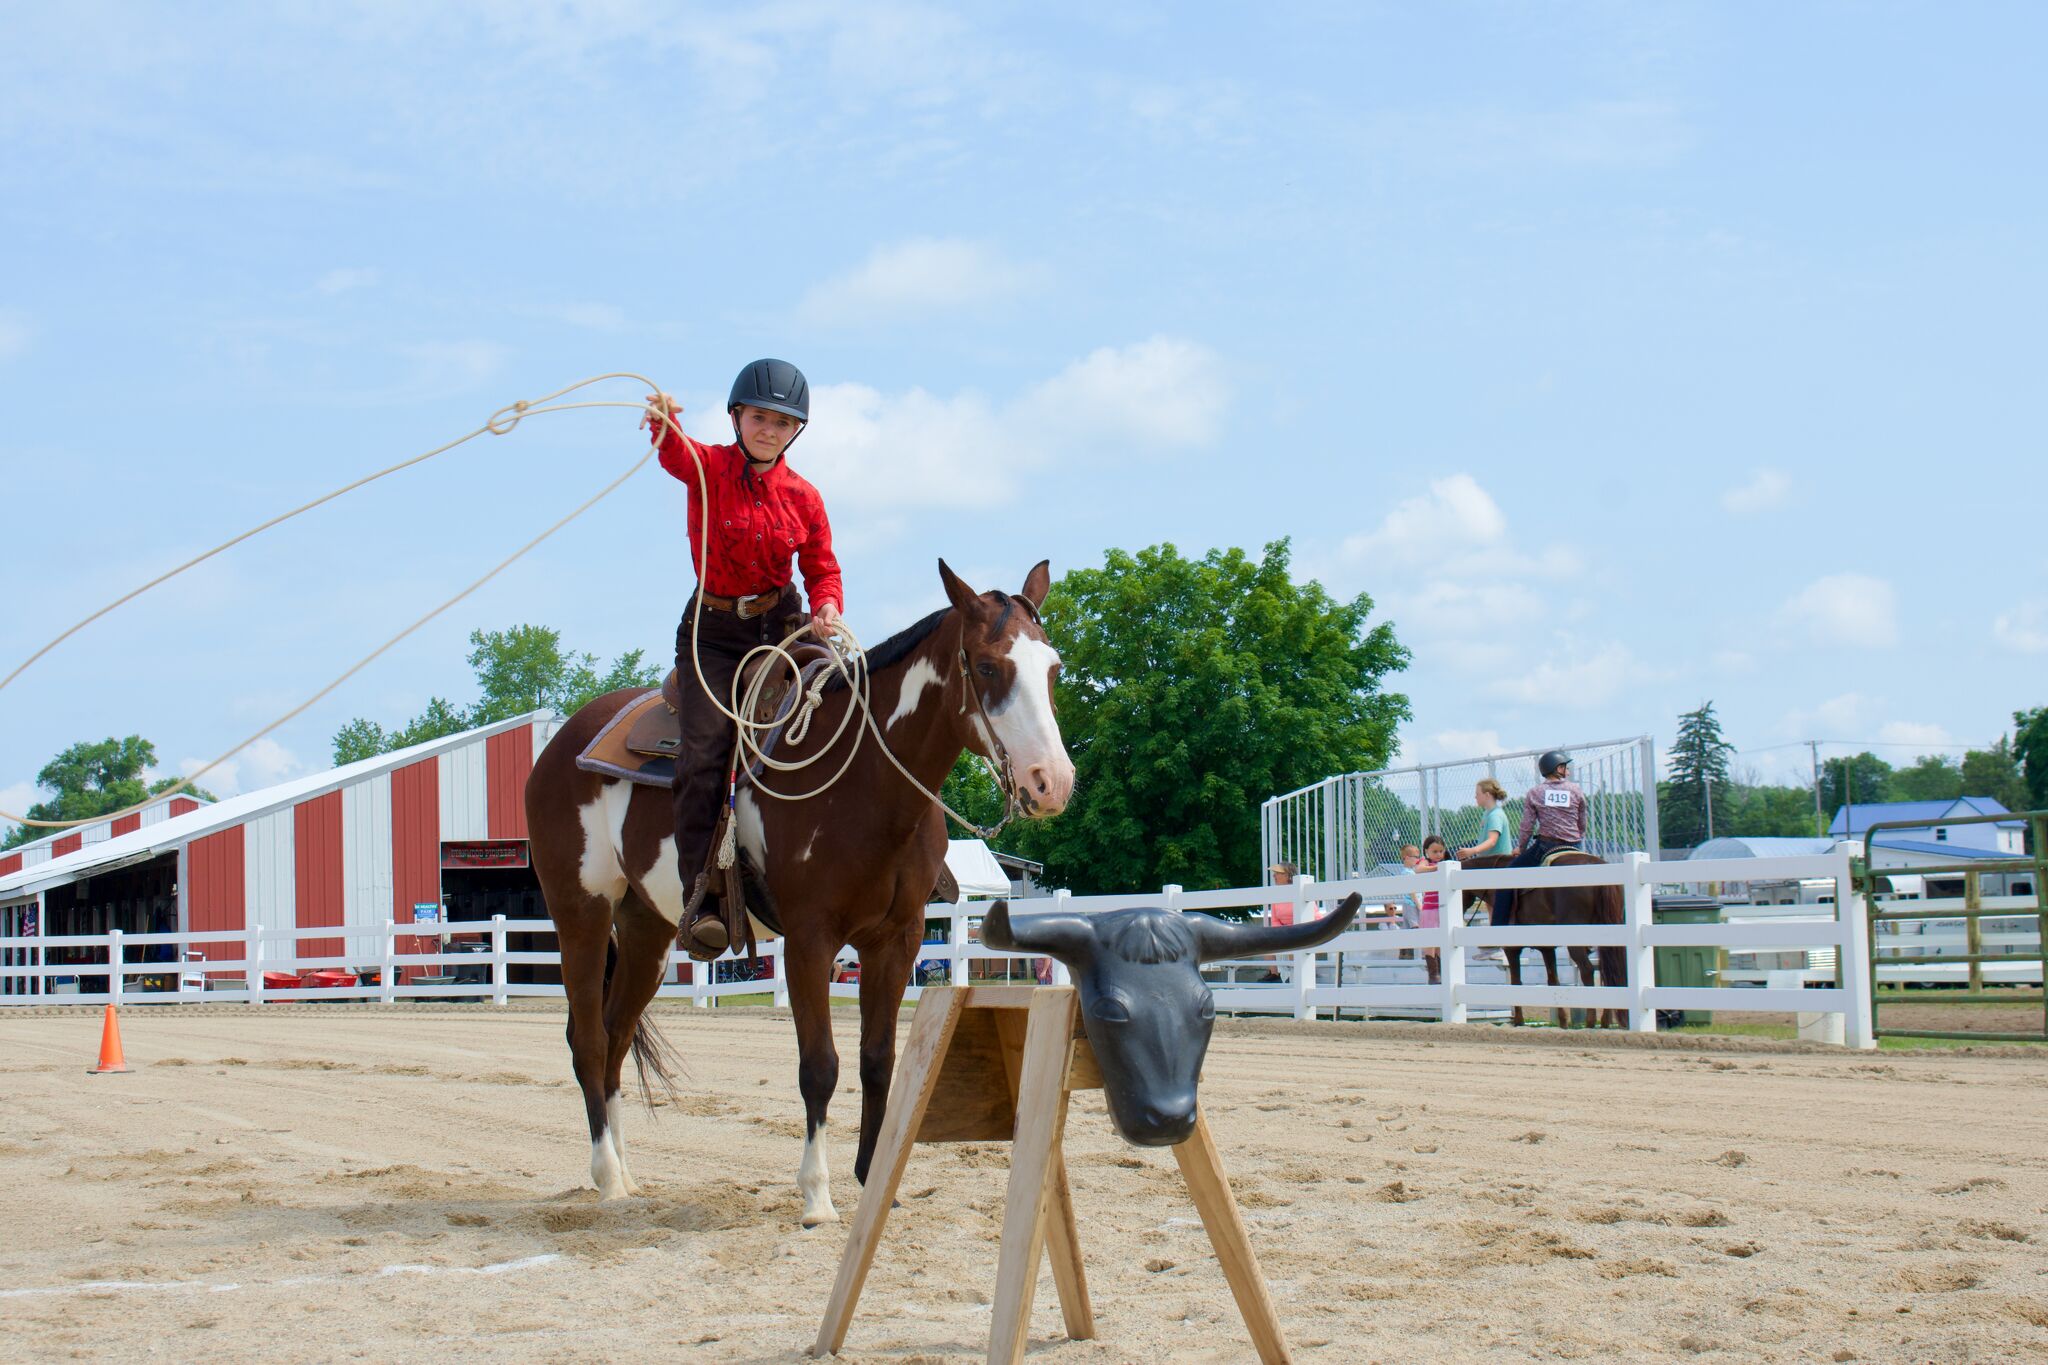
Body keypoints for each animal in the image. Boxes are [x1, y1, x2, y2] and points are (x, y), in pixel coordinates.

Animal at [525, 560, 1074, 1225]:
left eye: (1053, 668)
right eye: (989, 666)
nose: (1052, 782)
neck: (866, 781)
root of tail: (559, 745)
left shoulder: (897, 939)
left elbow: (877, 1059)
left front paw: (874, 1182)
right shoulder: (811, 940)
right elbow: (821, 1066)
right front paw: (817, 1195)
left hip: (646, 932)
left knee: (615, 1039)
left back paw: (626, 1178)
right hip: (579, 912)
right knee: (587, 1039)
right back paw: (605, 1175)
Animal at [1463, 852, 1626, 1028]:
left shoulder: (1512, 948)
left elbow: (1516, 981)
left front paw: (1519, 1022)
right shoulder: (1547, 948)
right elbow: (1553, 980)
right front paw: (1563, 1023)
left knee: (1588, 970)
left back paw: (1590, 1023)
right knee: (1606, 969)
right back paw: (1604, 1022)